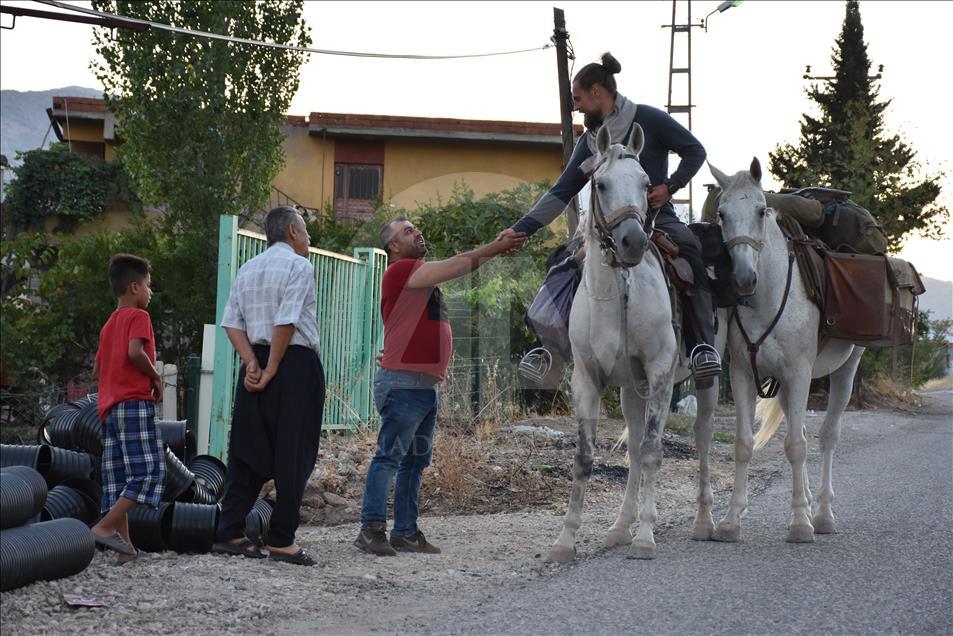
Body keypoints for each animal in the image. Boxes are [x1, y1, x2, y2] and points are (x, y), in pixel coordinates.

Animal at [548, 125, 716, 560]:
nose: (633, 243)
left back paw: (706, 522)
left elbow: (656, 450)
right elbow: (587, 456)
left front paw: (646, 536)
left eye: (645, 183)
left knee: (702, 438)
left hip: (708, 380)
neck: (619, 292)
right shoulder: (588, 380)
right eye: (601, 183)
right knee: (636, 450)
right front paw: (566, 540)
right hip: (630, 391)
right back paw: (621, 527)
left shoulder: (659, 376)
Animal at [708, 158, 864, 540]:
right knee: (804, 434)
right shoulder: (745, 375)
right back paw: (806, 502)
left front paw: (800, 524)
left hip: (845, 369)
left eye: (761, 210)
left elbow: (795, 446)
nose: (743, 279)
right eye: (721, 213)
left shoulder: (799, 372)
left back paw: (821, 514)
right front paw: (730, 521)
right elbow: (744, 444)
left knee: (826, 437)